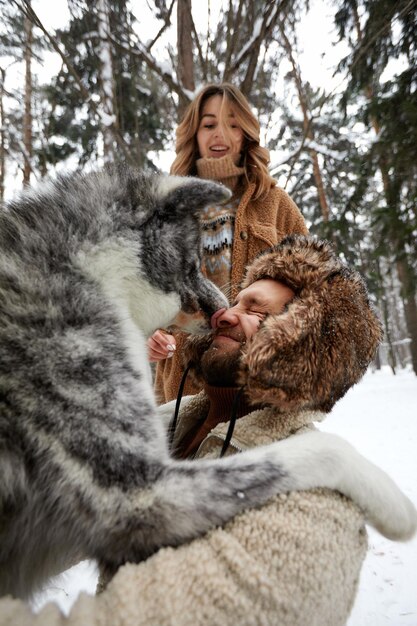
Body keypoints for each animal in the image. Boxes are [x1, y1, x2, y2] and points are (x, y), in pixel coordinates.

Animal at [0, 161, 416, 596]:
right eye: (191, 263)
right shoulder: (137, 494)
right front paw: (395, 506)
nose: (223, 313)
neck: (82, 271)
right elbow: (322, 450)